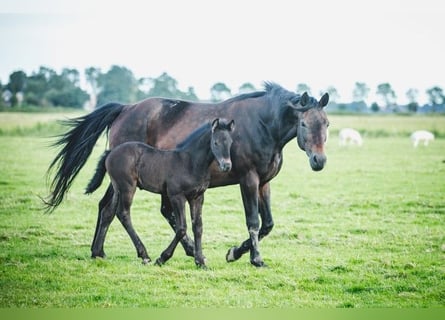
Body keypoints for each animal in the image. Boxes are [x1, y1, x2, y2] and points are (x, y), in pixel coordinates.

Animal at [46, 81, 330, 266]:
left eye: (326, 123)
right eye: (304, 123)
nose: (319, 161)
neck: (262, 124)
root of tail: (125, 109)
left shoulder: (264, 183)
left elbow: (268, 223)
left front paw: (235, 252)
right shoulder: (248, 179)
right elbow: (253, 221)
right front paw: (253, 258)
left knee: (110, 208)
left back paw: (100, 252)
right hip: (128, 182)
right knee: (117, 209)